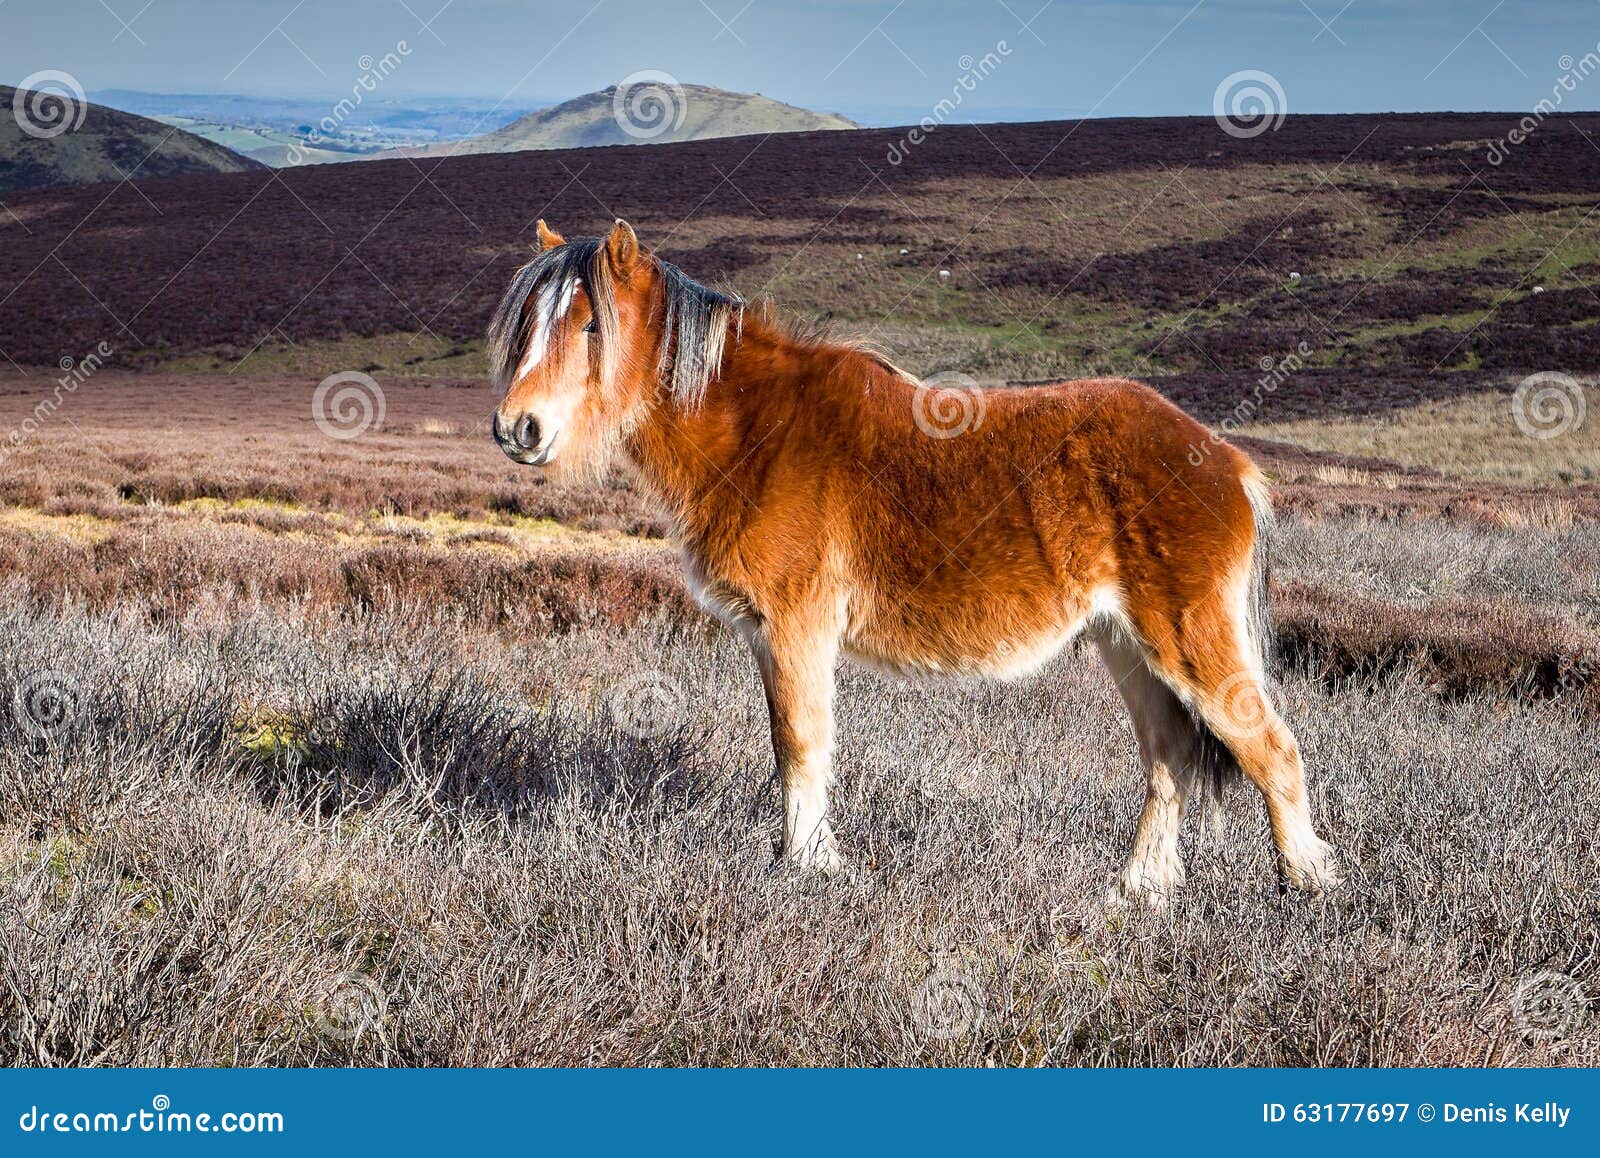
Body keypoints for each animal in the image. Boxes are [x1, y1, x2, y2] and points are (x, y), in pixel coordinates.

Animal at [486, 217, 1337, 902]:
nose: (516, 430)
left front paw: (810, 866)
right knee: (1170, 758)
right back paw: (1141, 891)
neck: (757, 428)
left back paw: (1307, 885)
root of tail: (1226, 460)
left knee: (1270, 749)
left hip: (1188, 638)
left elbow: (801, 744)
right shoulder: (770, 637)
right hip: (1128, 645)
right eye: (527, 324)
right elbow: (789, 745)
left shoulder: (797, 630)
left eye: (592, 326)